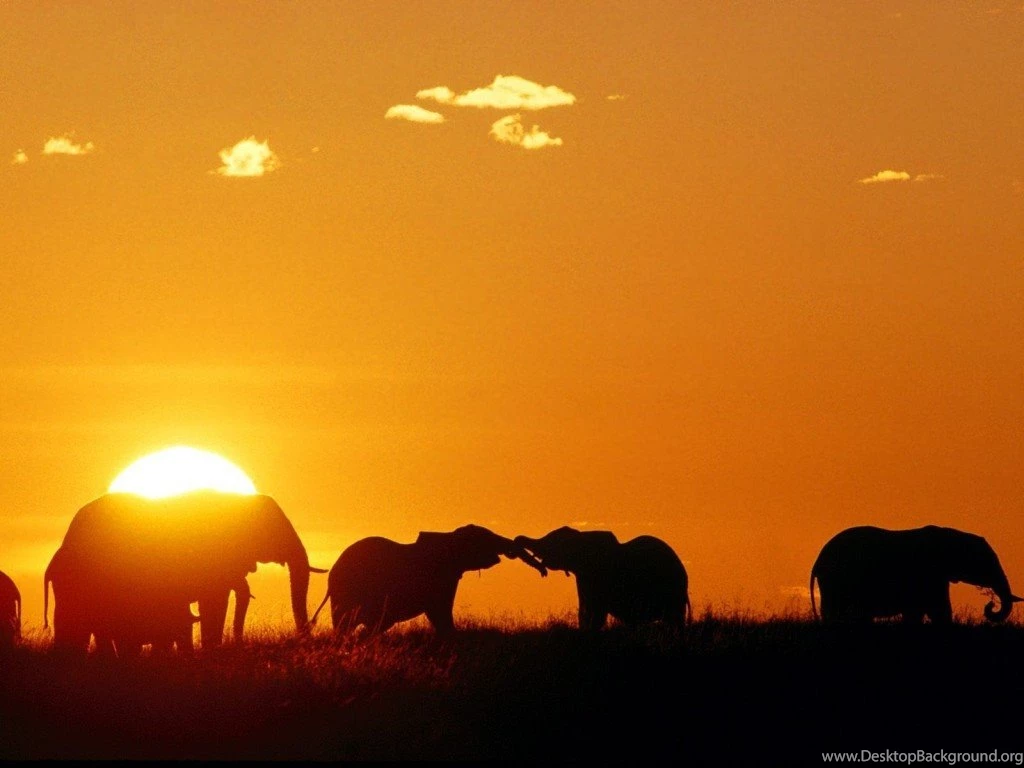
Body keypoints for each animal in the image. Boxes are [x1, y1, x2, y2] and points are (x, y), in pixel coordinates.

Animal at [515, 527, 690, 631]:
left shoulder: (600, 576)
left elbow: (596, 615)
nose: (516, 540)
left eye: (553, 542)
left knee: (675, 622)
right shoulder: (584, 578)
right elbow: (585, 612)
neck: (583, 537)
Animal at [810, 525, 1023, 624]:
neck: (952, 535)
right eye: (986, 562)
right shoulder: (929, 572)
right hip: (836, 581)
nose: (990, 604)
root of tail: (817, 562)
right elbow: (938, 610)